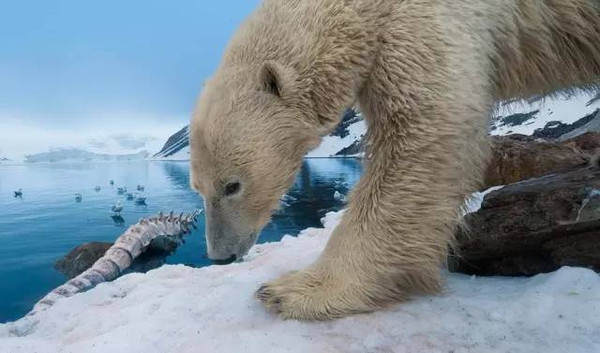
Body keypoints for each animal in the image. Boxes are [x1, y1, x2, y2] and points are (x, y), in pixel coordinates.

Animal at [190, 0, 600, 320]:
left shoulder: (425, 19)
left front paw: (294, 291)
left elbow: (423, 131)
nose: (220, 256)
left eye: (232, 185)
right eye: (199, 188)